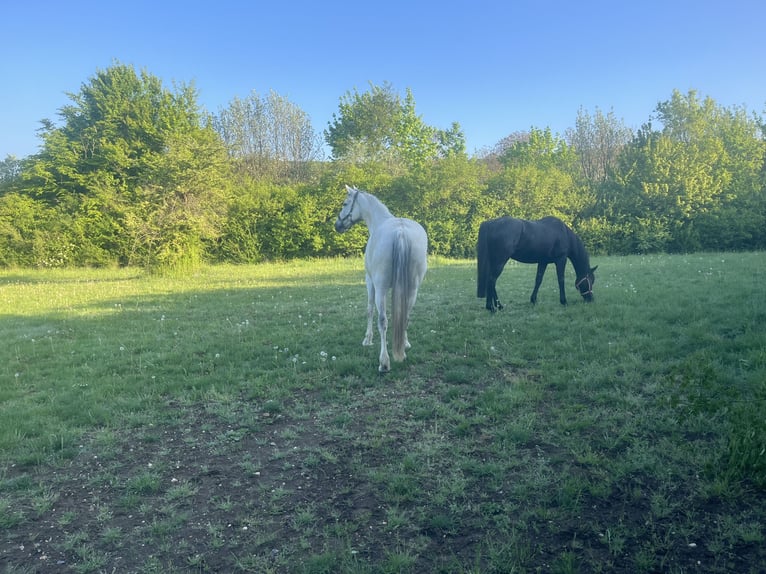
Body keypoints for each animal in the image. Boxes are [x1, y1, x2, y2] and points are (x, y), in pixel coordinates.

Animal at [334, 185, 428, 372]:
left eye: (345, 203)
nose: (337, 225)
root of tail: (400, 231)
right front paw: (405, 343)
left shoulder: (370, 282)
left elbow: (370, 310)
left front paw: (367, 339)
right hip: (412, 288)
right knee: (406, 316)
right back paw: (402, 347)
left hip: (381, 288)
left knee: (382, 320)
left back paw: (384, 362)